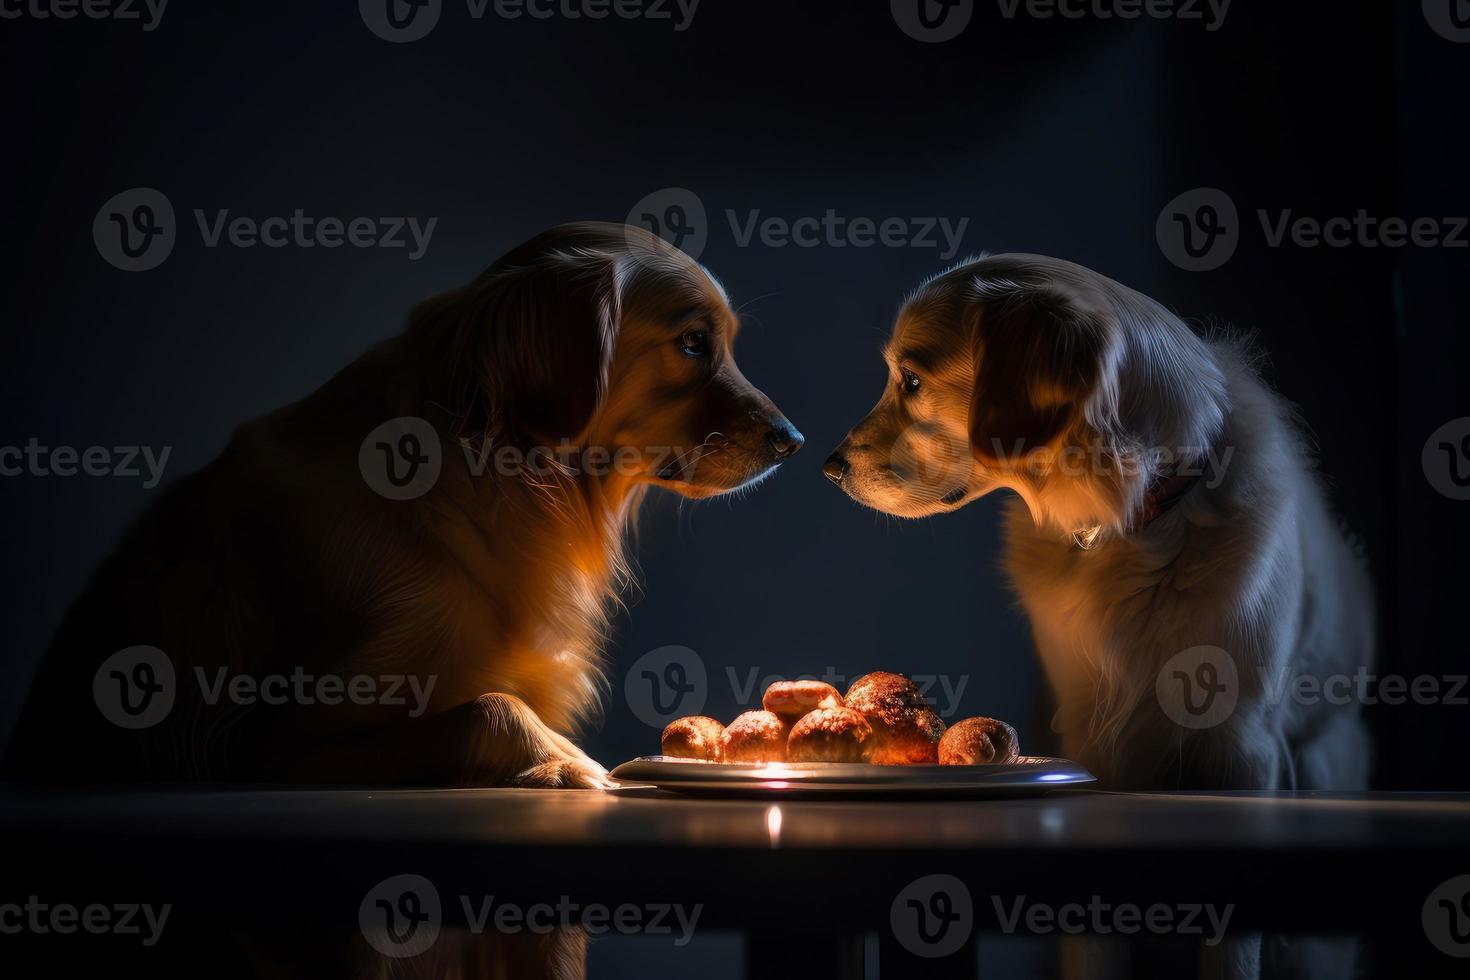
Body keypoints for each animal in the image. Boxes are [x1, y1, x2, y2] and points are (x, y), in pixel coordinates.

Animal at [2, 218, 805, 793]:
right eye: (693, 343)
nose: (793, 439)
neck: (507, 478)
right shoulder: (279, 744)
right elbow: (489, 706)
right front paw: (567, 759)